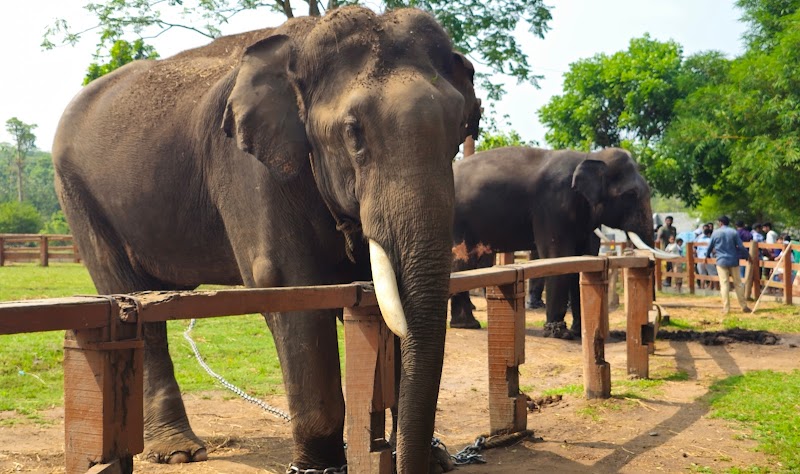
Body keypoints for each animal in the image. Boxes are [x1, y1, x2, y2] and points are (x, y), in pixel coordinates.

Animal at [52, 7, 480, 473]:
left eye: (460, 130)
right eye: (354, 133)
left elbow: (387, 302)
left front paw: (434, 458)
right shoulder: (249, 168)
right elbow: (286, 286)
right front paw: (317, 467)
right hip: (79, 197)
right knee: (128, 297)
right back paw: (181, 451)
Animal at [450, 146, 654, 338]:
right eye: (631, 194)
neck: (589, 156)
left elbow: (582, 260)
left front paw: (578, 332)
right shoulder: (553, 205)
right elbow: (558, 256)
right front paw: (560, 334)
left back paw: (466, 324)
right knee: (462, 261)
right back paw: (468, 324)